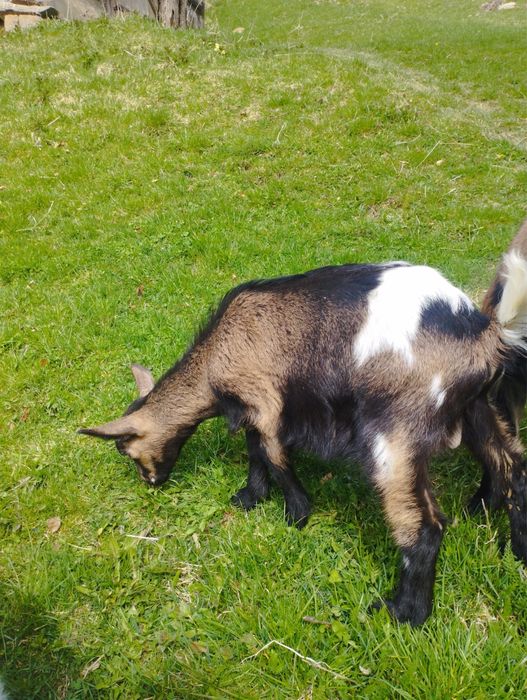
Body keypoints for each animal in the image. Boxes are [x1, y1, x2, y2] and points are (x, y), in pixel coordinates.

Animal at [79, 256, 527, 625]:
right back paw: (515, 552)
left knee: (426, 528)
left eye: (125, 448)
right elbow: (255, 452)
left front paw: (296, 514)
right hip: (481, 407)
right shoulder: (256, 409)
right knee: (514, 472)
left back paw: (403, 615)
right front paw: (250, 497)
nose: (151, 483)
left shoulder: (265, 400)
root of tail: (486, 338)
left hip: (396, 433)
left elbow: (273, 456)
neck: (214, 360)